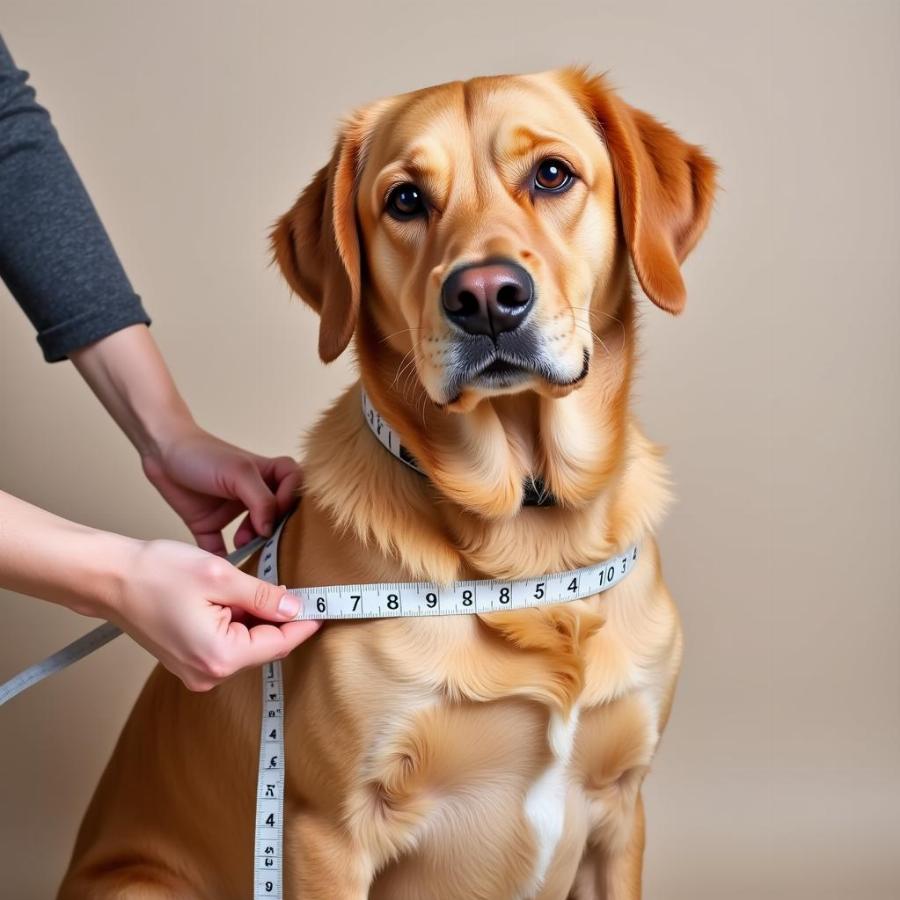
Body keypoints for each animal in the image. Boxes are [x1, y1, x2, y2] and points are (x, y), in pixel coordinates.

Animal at [58, 70, 716, 900]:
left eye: (552, 175)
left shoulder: (621, 810)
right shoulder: (326, 833)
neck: (529, 529)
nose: (486, 297)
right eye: (405, 200)